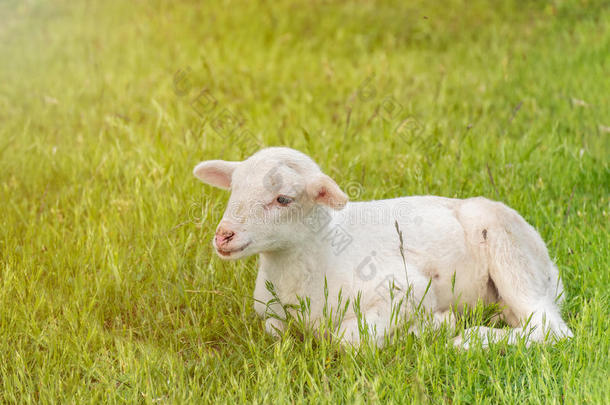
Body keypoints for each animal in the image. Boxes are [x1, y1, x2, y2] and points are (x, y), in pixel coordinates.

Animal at [194, 147, 568, 346]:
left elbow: (348, 340)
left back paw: (470, 339)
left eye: (283, 199)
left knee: (551, 329)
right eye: (233, 189)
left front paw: (435, 325)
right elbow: (274, 331)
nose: (223, 236)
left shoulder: (406, 287)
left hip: (510, 252)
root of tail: (550, 265)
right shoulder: (270, 314)